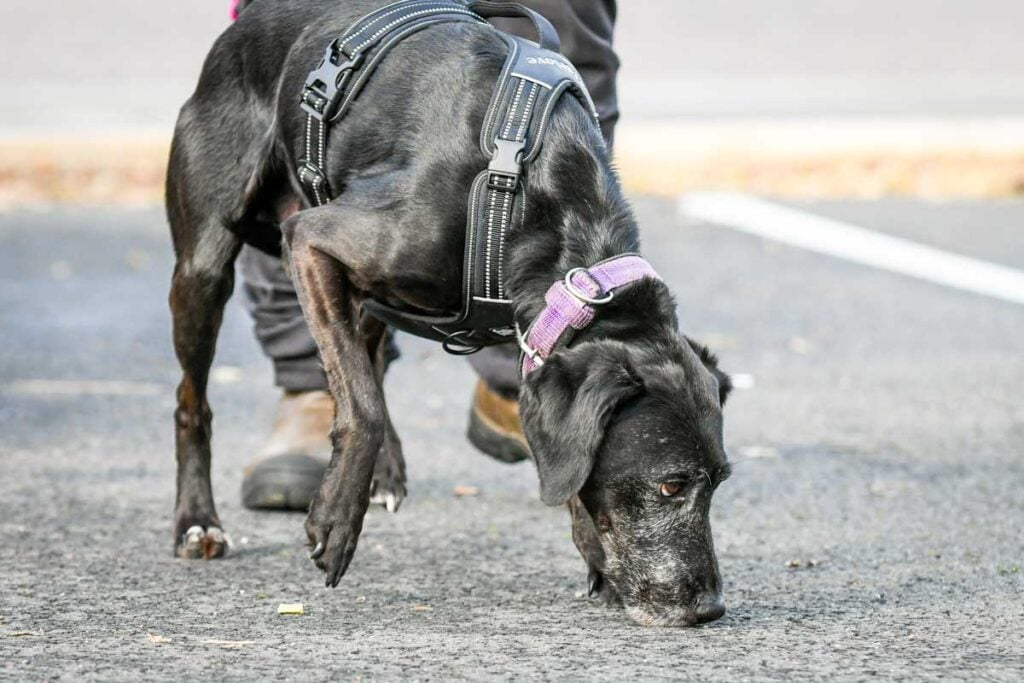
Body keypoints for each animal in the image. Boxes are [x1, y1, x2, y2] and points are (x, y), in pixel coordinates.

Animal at [167, 0, 733, 626]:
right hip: (205, 268)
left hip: (362, 292)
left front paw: (595, 557)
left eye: (719, 482)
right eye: (671, 486)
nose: (710, 608)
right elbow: (360, 407)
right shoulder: (310, 240)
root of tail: (249, 21)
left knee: (367, 357)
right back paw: (197, 524)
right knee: (195, 402)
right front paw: (336, 517)